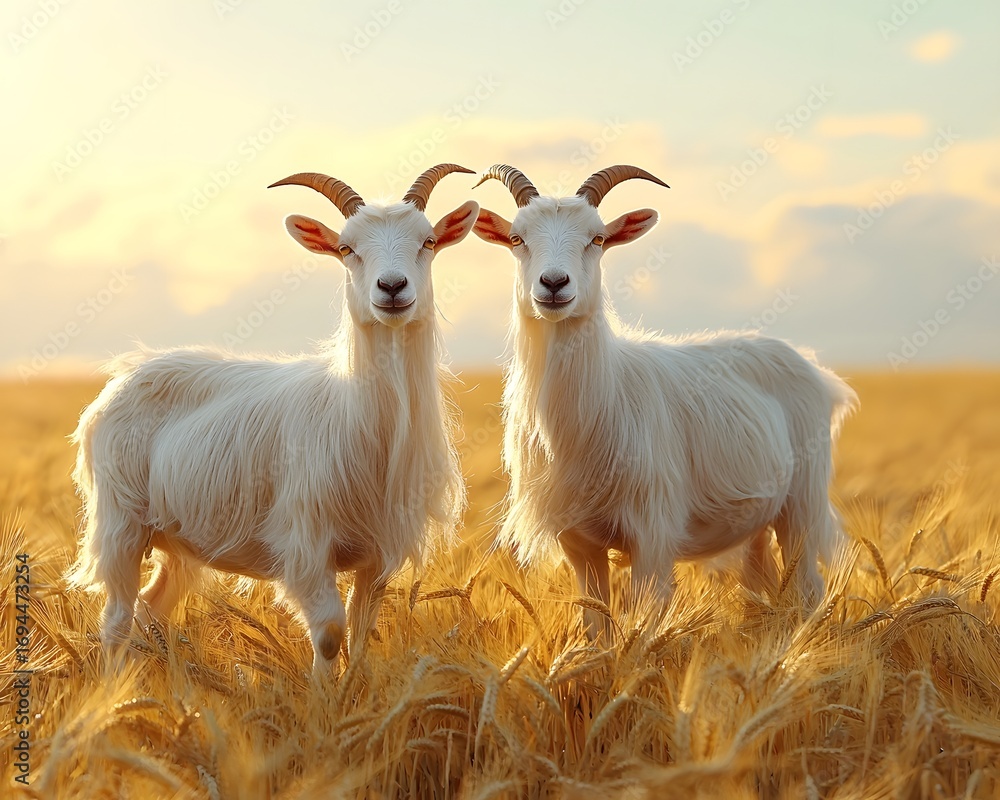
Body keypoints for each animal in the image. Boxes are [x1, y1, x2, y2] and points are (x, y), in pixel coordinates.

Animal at [67, 164, 479, 669]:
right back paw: (114, 686)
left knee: (151, 608)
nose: (392, 288)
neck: (357, 413)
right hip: (121, 524)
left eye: (428, 241)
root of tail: (125, 375)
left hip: (178, 539)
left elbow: (361, 636)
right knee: (116, 621)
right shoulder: (305, 547)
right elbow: (330, 634)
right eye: (347, 249)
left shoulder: (378, 557)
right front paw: (323, 692)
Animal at [473, 164, 857, 638]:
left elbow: (644, 619)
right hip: (757, 523)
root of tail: (817, 371)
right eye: (517, 238)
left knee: (807, 590)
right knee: (765, 589)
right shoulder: (578, 544)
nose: (554, 284)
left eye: (597, 238)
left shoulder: (652, 536)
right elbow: (597, 626)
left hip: (802, 505)